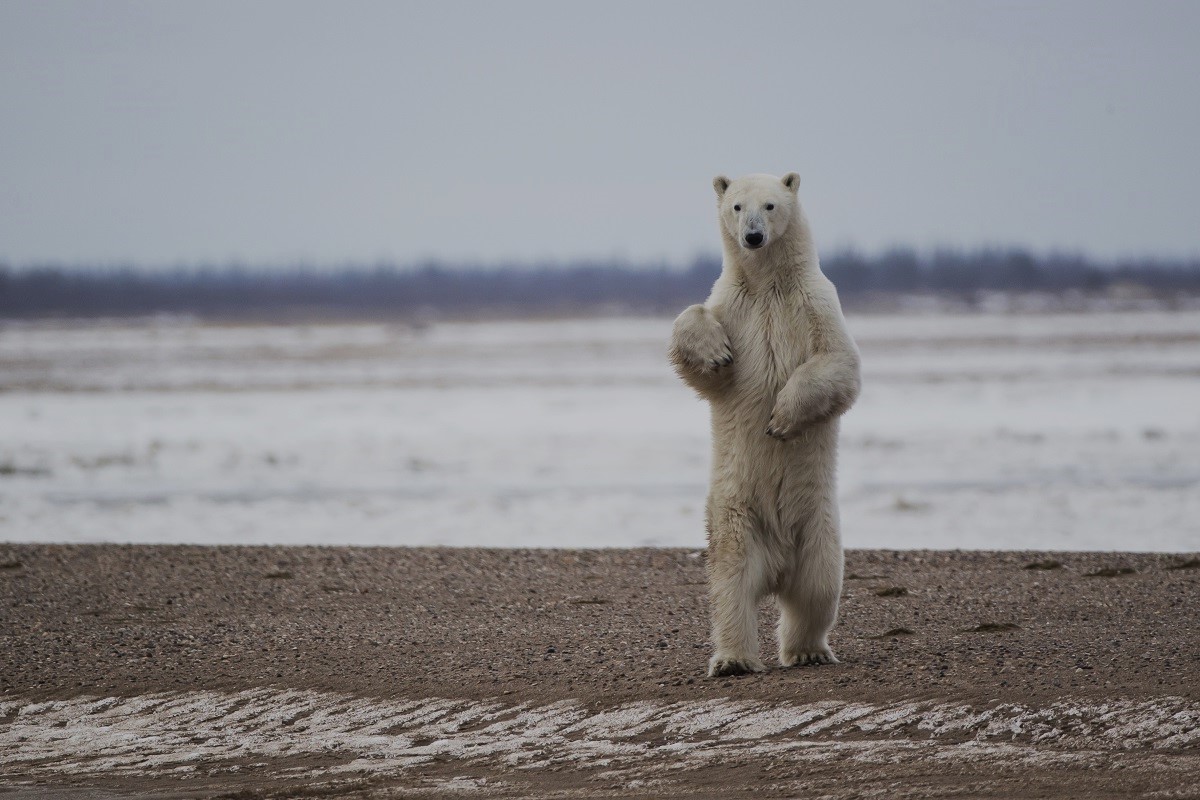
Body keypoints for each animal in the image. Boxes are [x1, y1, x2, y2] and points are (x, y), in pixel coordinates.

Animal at [667, 170, 864, 676]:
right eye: (737, 206)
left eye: (771, 205)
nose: (752, 237)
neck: (768, 283)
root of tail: (776, 568)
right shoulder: (733, 304)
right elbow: (697, 342)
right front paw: (715, 353)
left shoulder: (816, 302)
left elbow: (838, 363)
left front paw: (779, 420)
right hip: (735, 515)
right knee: (730, 584)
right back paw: (734, 659)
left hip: (818, 525)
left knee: (817, 588)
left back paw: (809, 650)